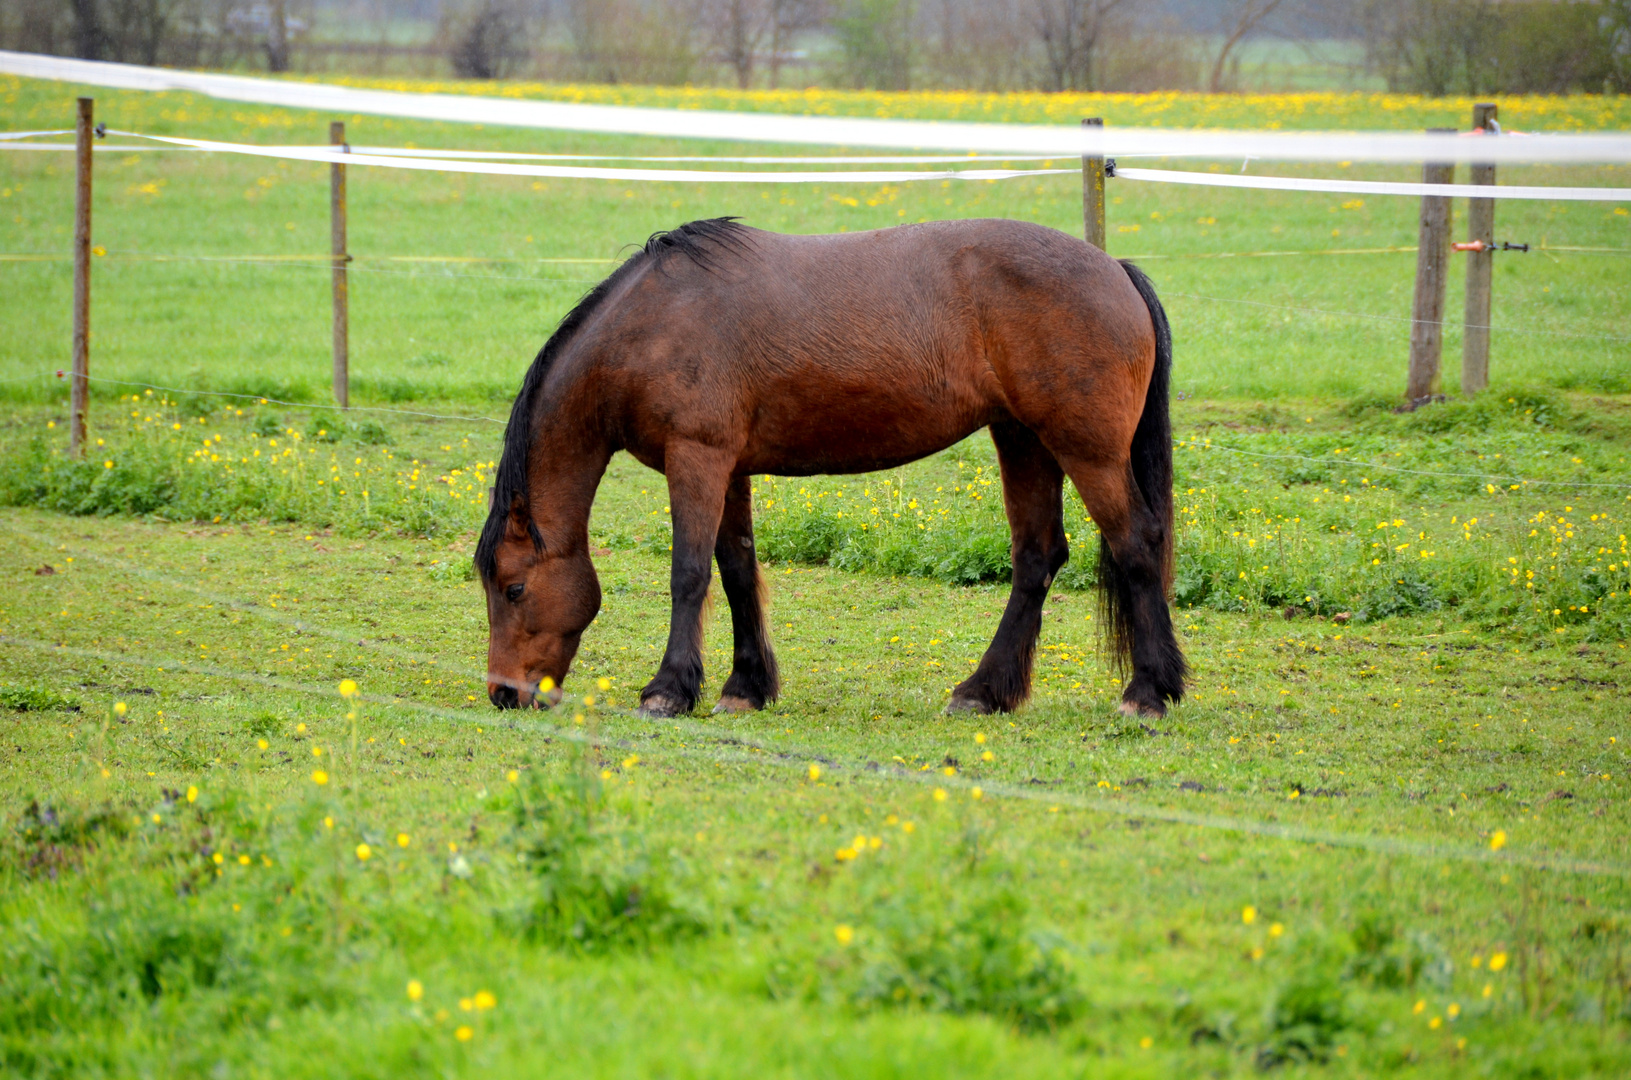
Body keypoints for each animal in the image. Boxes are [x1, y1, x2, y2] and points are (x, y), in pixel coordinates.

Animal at [476, 215, 1187, 717]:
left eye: (513, 588)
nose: (505, 693)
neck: (653, 323)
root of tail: (1115, 270)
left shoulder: (696, 459)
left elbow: (689, 573)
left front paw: (669, 690)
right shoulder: (729, 468)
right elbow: (736, 570)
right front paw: (745, 686)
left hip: (1085, 450)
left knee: (1136, 544)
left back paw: (1148, 694)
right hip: (1022, 440)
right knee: (1037, 558)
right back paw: (983, 691)